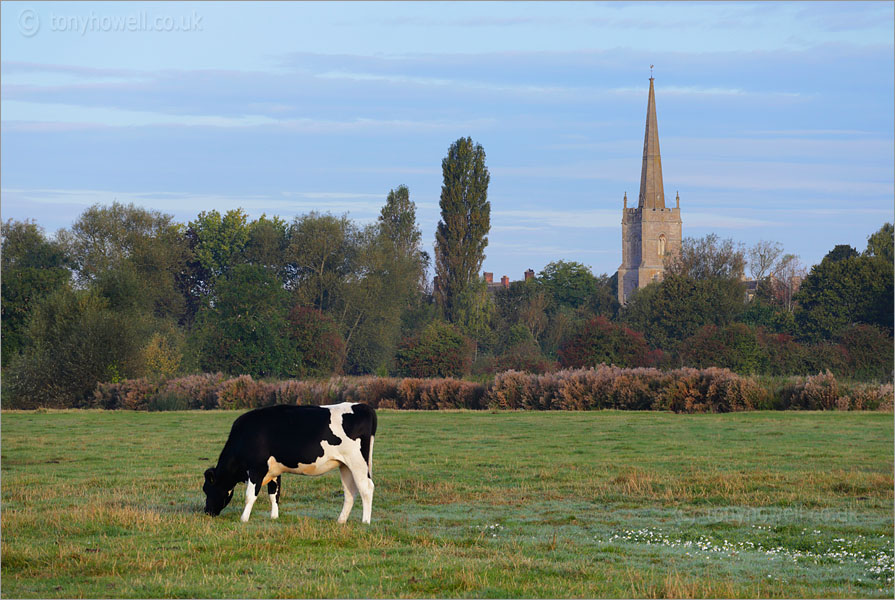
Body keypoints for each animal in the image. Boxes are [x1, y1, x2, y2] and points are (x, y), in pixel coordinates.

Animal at [205, 404, 376, 524]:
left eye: (207, 489)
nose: (207, 512)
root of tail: (363, 406)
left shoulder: (256, 469)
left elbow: (250, 496)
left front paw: (244, 519)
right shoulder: (274, 471)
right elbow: (274, 494)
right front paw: (274, 517)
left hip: (358, 463)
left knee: (366, 488)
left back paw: (365, 521)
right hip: (345, 465)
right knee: (350, 492)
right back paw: (341, 520)